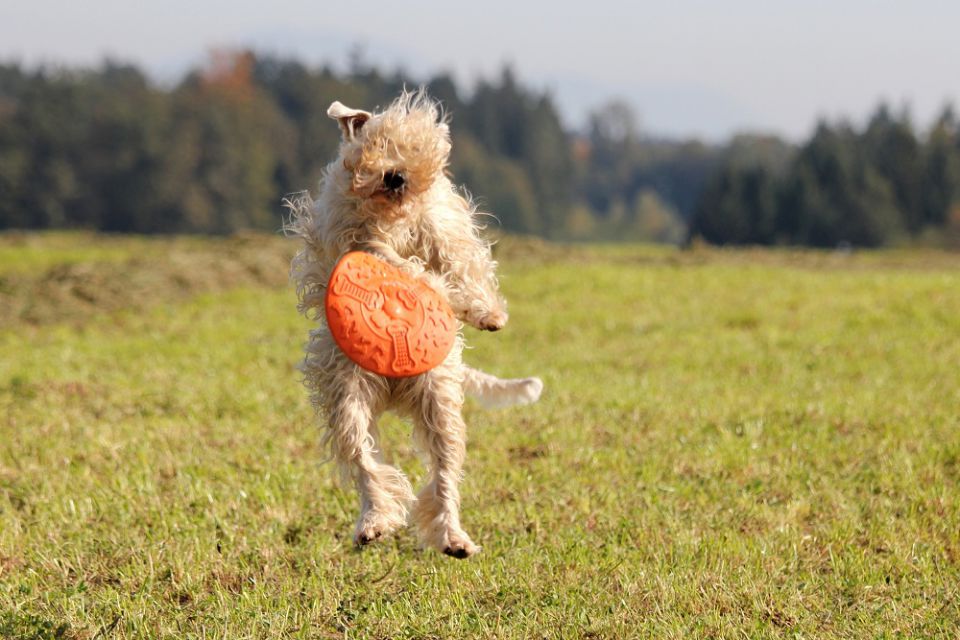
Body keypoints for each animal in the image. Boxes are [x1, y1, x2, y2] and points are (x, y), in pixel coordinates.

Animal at [284, 90, 544, 560]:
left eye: (414, 145)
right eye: (374, 143)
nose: (395, 176)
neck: (391, 215)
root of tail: (392, 391)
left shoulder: (444, 228)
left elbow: (460, 263)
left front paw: (486, 313)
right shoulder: (355, 235)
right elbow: (393, 260)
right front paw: (425, 290)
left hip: (436, 401)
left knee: (443, 473)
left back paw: (454, 538)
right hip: (347, 395)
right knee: (366, 463)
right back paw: (374, 523)